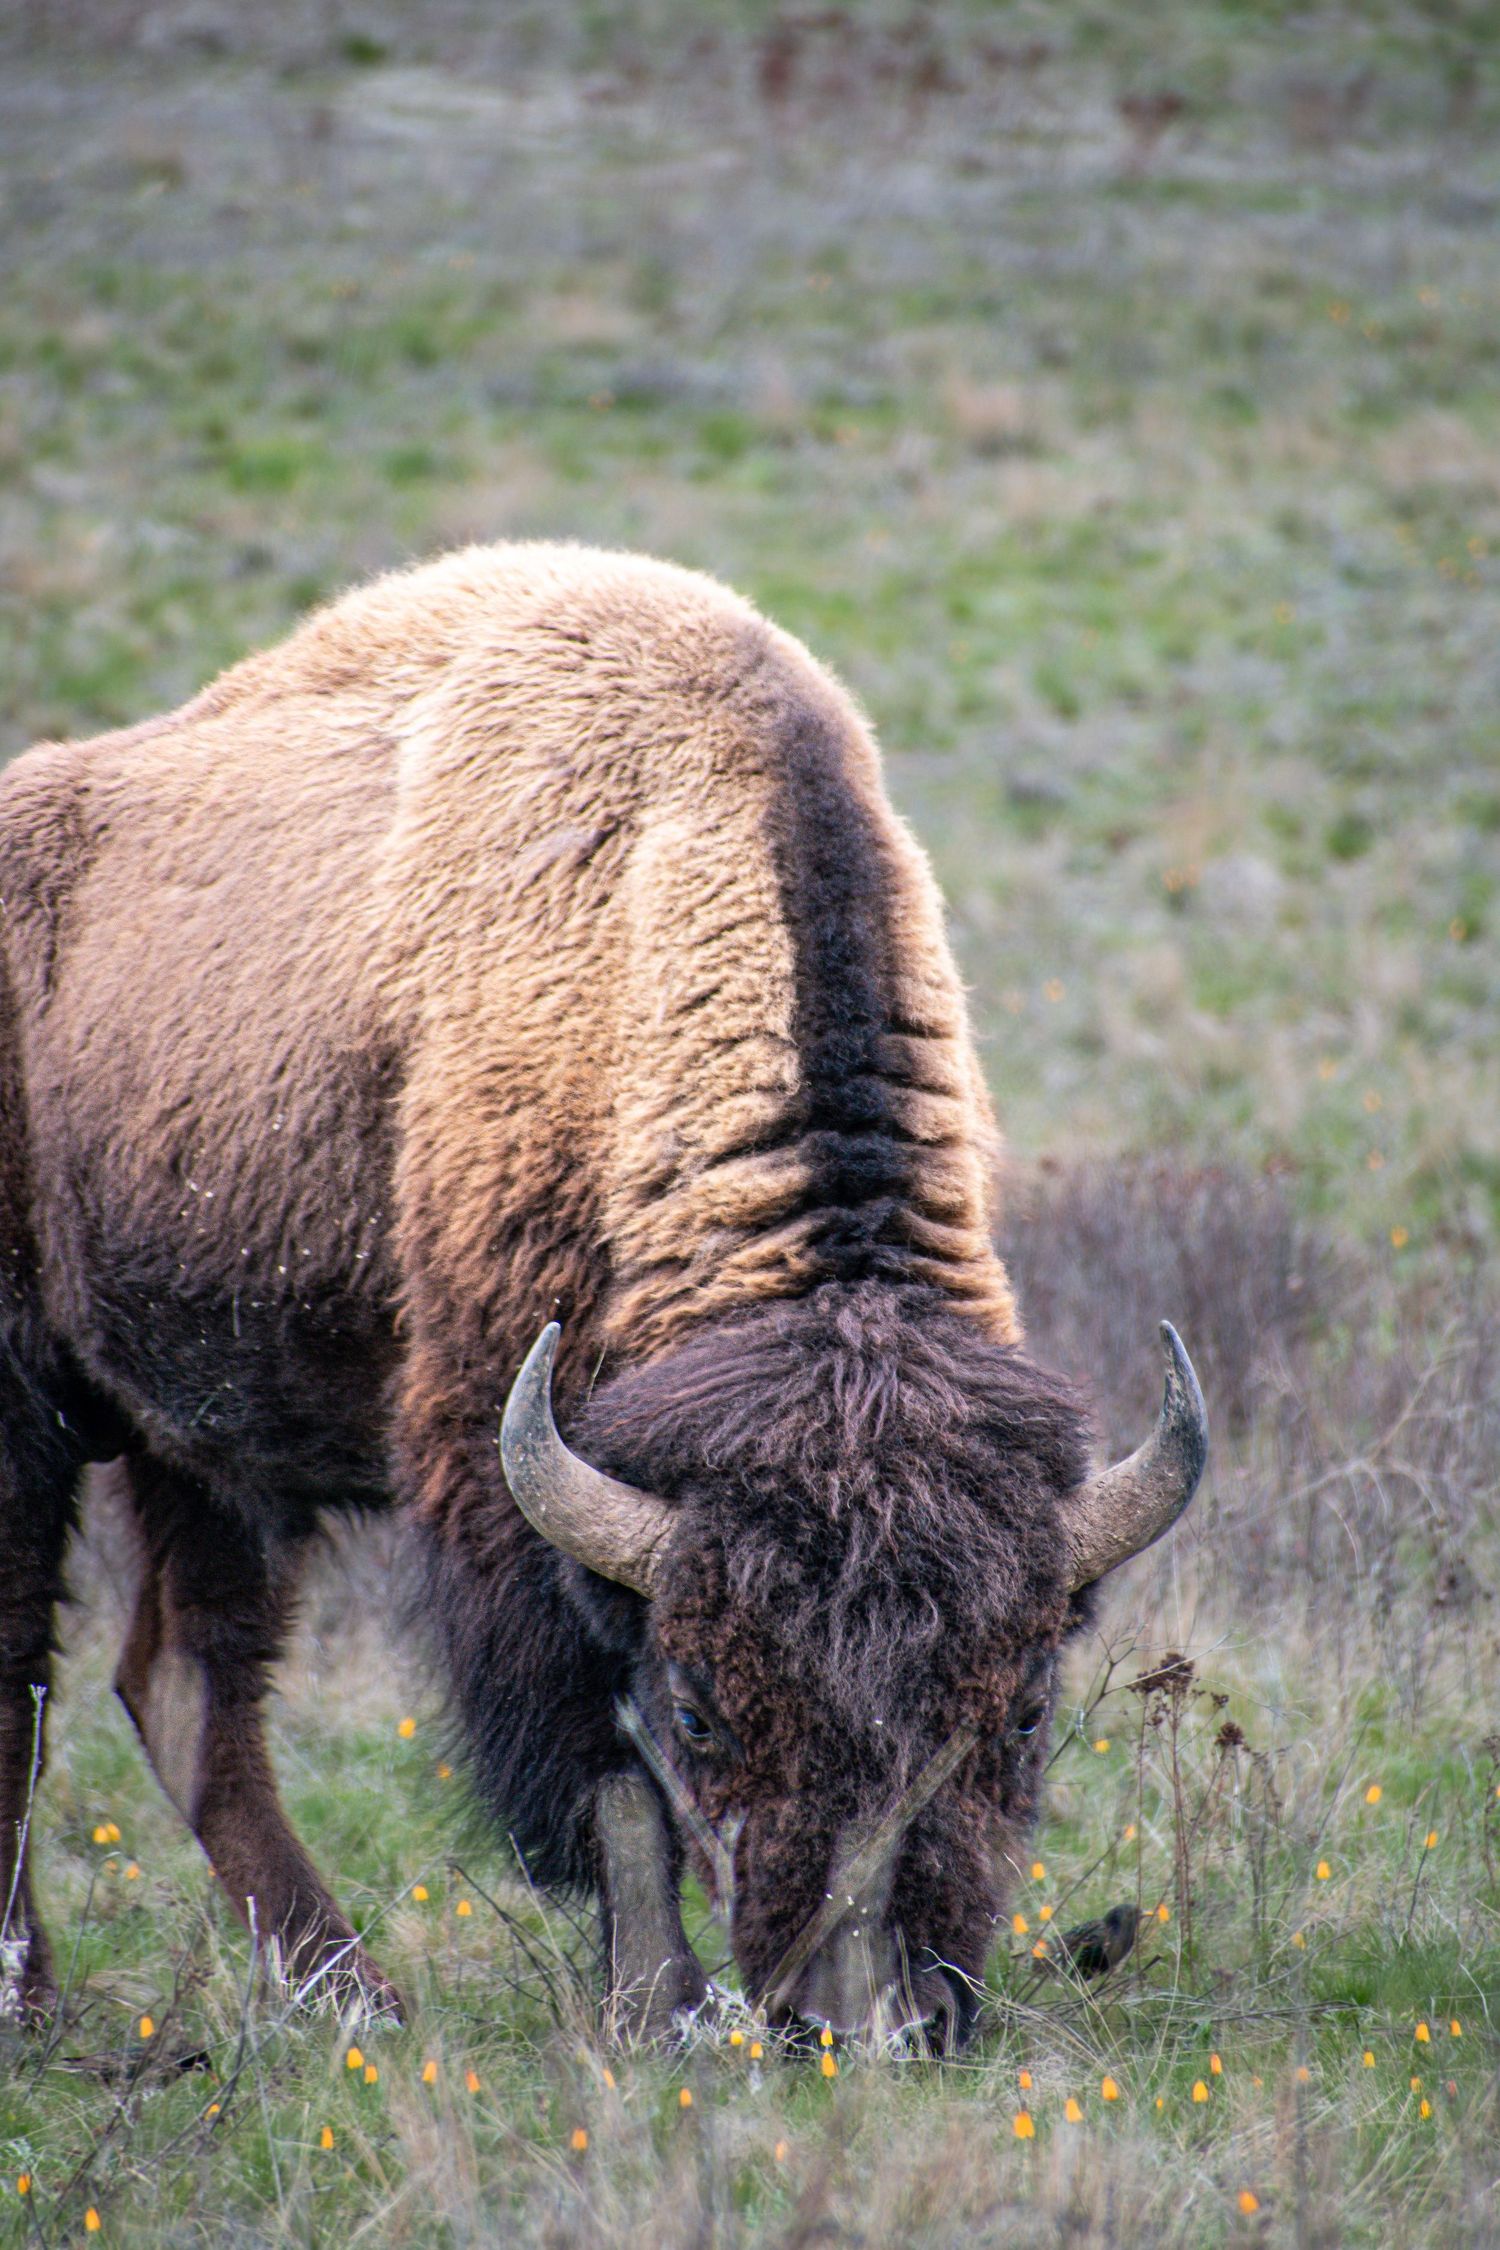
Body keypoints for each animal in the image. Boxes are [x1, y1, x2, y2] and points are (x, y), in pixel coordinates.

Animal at [0, 544, 1204, 2046]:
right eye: (703, 1714)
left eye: (1027, 1710)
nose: (869, 2016)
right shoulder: (505, 1480)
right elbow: (605, 1777)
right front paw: (663, 2007)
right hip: (31, 1410)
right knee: (28, 1681)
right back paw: (41, 1998)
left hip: (209, 1443)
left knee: (183, 1682)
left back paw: (357, 1998)